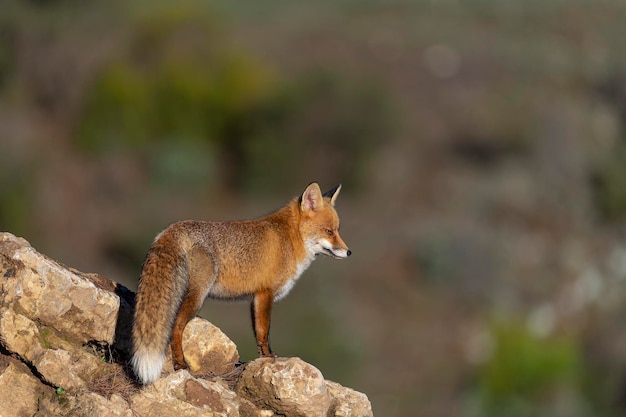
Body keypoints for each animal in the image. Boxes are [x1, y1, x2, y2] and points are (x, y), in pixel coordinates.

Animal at [130, 181, 352, 384]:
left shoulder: (255, 298)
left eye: (338, 230)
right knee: (176, 325)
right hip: (197, 297)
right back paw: (180, 364)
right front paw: (270, 358)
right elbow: (264, 331)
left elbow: (258, 334)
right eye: (329, 231)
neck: (289, 238)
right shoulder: (265, 292)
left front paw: (262, 360)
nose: (349, 252)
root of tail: (173, 228)